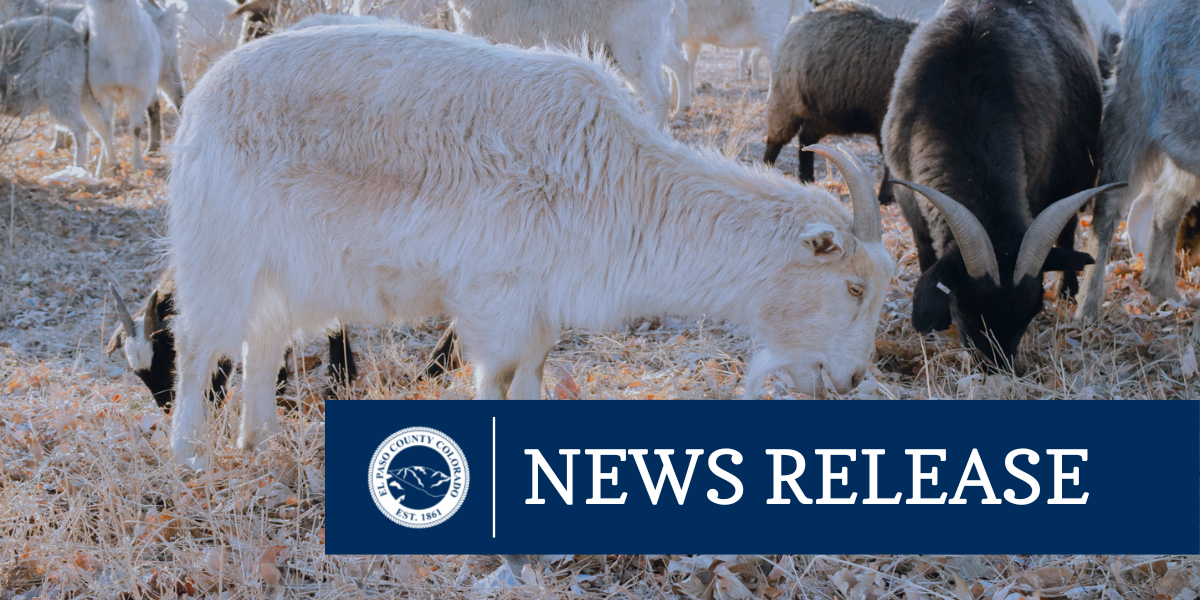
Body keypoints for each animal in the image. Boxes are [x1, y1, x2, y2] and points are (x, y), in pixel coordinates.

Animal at [0, 16, 111, 171]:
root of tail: (77, 34)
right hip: (84, 90)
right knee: (103, 122)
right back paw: (108, 165)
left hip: (60, 90)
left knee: (80, 127)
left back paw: (80, 166)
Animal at [165, 25, 892, 468]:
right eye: (853, 286)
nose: (854, 380)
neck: (620, 179)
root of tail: (200, 99)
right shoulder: (499, 296)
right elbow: (500, 378)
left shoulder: (543, 306)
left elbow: (533, 378)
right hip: (219, 251)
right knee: (199, 345)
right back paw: (190, 455)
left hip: (285, 270)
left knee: (262, 342)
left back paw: (260, 443)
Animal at [763, 1, 915, 205]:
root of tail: (801, 18)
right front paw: (885, 197)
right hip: (786, 100)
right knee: (775, 142)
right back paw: (765, 170)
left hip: (822, 115)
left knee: (806, 140)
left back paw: (807, 179)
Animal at [882, 0, 1119, 365]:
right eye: (965, 307)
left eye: (1032, 312)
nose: (995, 367)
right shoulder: (909, 199)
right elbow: (927, 254)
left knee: (1067, 232)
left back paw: (1069, 290)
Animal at [1076, 0, 1200, 318]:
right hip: (1133, 111)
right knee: (1109, 205)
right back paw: (1088, 306)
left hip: (1182, 135)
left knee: (1168, 200)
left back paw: (1164, 289)